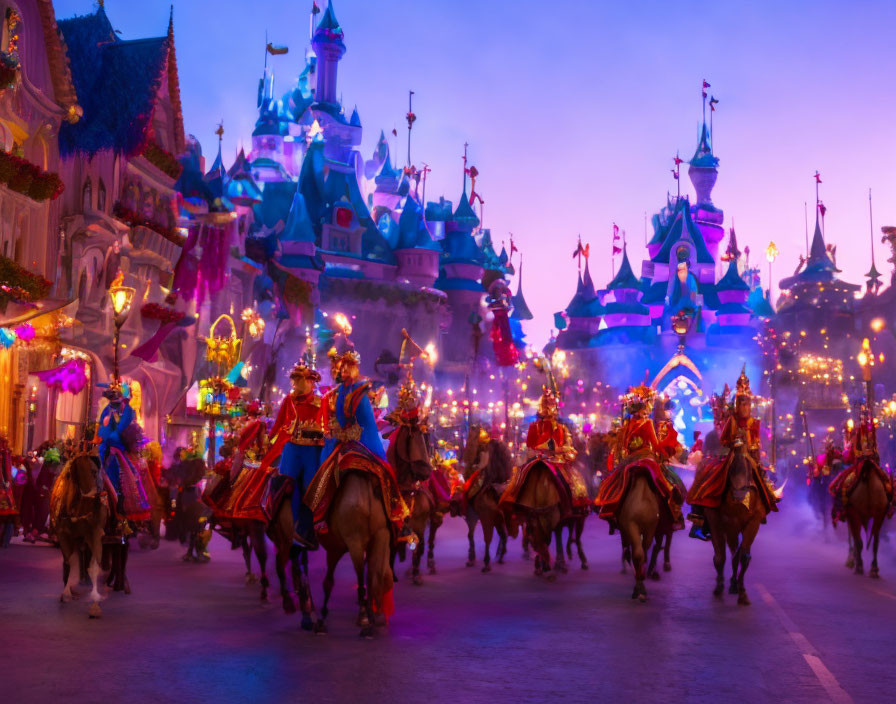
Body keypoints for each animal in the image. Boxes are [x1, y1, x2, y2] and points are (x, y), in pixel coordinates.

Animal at [50, 454, 107, 620]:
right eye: (75, 472)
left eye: (95, 471)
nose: (98, 498)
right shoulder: (63, 535)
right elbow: (69, 562)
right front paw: (66, 594)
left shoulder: (95, 533)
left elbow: (94, 567)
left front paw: (95, 602)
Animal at [388, 420, 438, 584]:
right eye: (411, 437)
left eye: (425, 437)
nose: (426, 471)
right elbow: (391, 549)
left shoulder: (420, 524)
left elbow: (419, 546)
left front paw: (416, 573)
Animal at [456, 426, 512, 576]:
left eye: (479, 447)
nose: (464, 460)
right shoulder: (484, 517)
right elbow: (471, 535)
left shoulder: (479, 516)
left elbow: (479, 537)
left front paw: (478, 560)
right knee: (503, 536)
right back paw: (501, 556)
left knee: (494, 537)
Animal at [704, 448, 768, 604]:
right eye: (730, 469)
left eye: (750, 470)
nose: (739, 496)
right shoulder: (718, 522)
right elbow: (721, 556)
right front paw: (719, 586)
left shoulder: (753, 522)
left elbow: (743, 556)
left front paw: (742, 592)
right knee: (727, 553)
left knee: (736, 552)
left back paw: (734, 584)